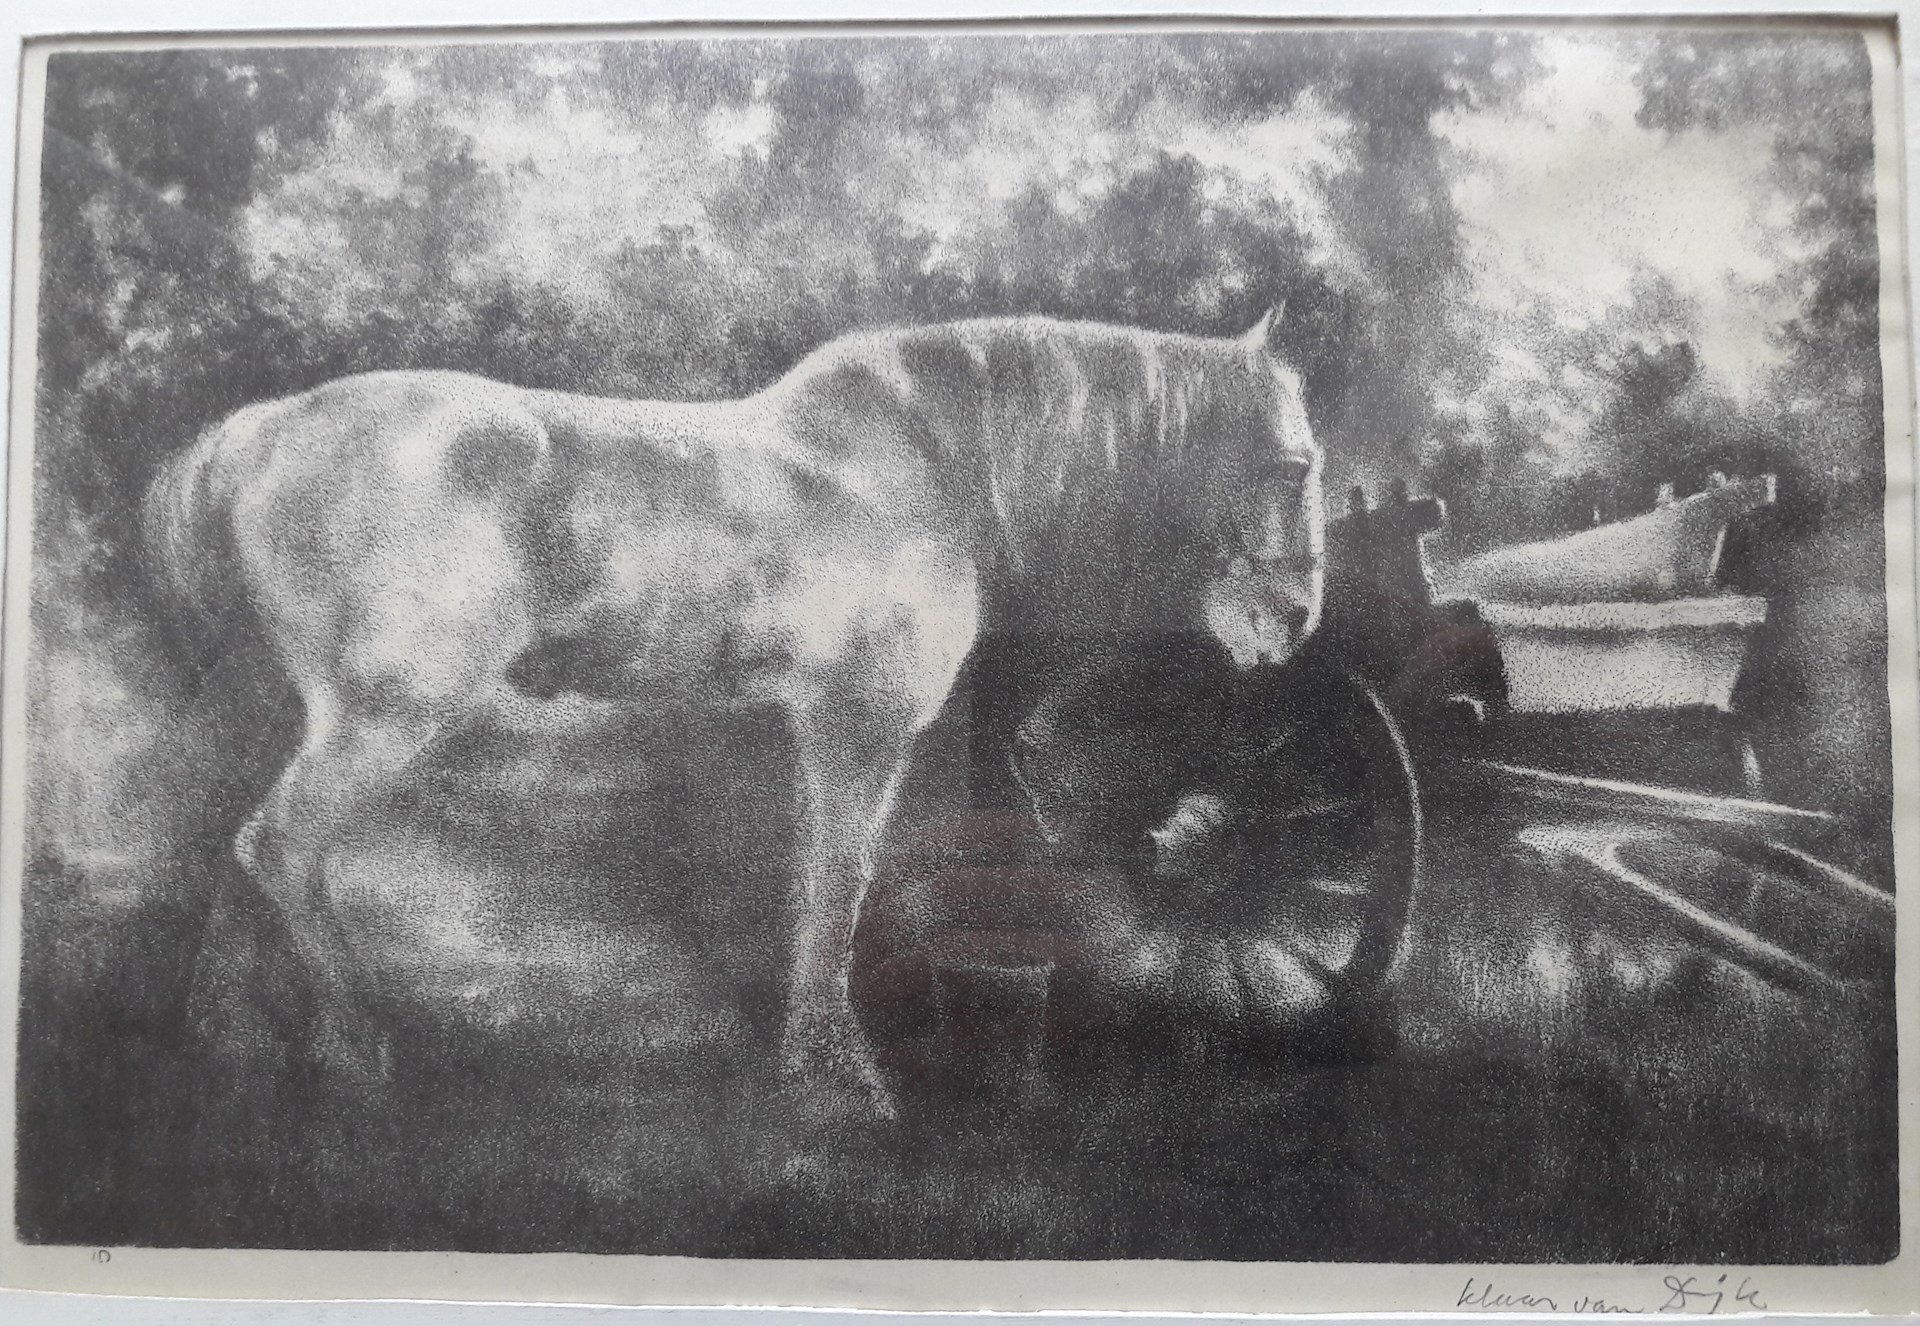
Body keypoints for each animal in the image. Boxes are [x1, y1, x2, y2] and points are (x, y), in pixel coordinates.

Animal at [142, 310, 1324, 1119]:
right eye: (1293, 461)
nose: (1294, 623)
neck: (919, 473)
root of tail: (259, 433)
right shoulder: (858, 725)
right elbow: (839, 883)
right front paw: (840, 1081)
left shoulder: (819, 730)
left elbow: (813, 884)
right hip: (383, 719)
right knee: (283, 845)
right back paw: (359, 1053)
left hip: (291, 716)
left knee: (238, 851)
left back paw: (231, 1046)